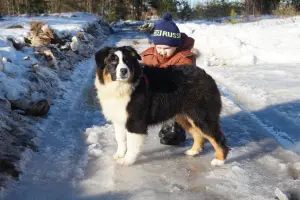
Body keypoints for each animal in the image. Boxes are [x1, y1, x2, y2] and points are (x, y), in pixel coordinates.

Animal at [94, 46, 227, 166]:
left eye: (127, 61)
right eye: (113, 61)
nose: (124, 71)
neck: (121, 87)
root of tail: (207, 76)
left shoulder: (135, 121)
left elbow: (132, 143)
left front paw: (127, 160)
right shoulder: (119, 119)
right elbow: (121, 139)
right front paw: (119, 154)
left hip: (202, 116)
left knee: (217, 138)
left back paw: (219, 160)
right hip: (185, 117)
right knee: (199, 135)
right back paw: (193, 151)